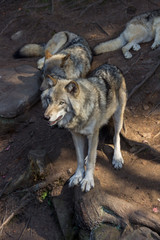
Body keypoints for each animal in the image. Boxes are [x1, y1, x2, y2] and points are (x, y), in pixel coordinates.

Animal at [42, 63, 127, 191]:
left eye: (62, 103)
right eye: (50, 100)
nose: (46, 117)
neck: (79, 117)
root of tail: (111, 65)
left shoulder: (92, 134)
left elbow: (91, 160)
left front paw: (87, 180)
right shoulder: (76, 135)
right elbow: (80, 159)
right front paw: (78, 176)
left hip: (118, 116)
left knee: (116, 137)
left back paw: (117, 158)